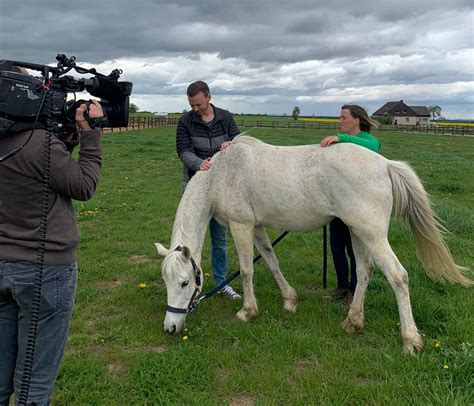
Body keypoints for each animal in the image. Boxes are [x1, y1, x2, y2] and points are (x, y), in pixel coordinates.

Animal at [156, 135, 470, 354]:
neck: (221, 174)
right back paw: (353, 322)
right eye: (167, 283)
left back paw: (410, 341)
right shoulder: (257, 227)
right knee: (364, 271)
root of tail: (385, 164)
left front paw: (247, 312)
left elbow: (247, 271)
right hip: (357, 232)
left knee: (398, 276)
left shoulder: (241, 226)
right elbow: (271, 261)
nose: (170, 328)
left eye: (185, 282)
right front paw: (290, 300)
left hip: (372, 234)